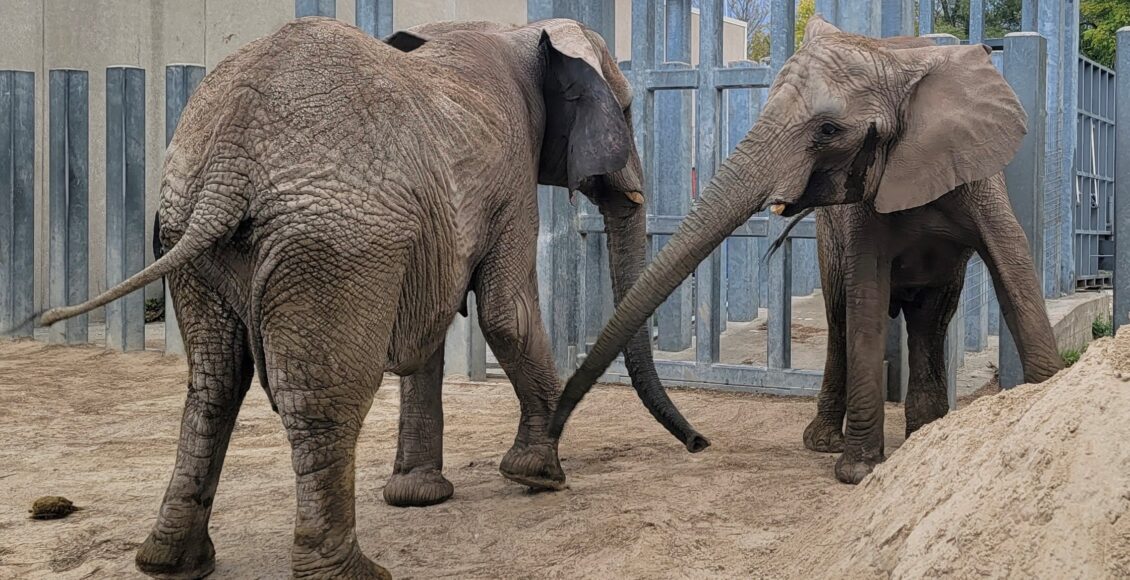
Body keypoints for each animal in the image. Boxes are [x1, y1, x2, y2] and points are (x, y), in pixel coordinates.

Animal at [39, 16, 707, 579]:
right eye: (626, 109)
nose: (699, 445)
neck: (523, 33)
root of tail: (230, 154)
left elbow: (433, 328)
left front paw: (419, 497)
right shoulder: (511, 174)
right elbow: (506, 314)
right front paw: (541, 477)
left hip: (190, 229)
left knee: (213, 381)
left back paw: (171, 562)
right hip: (335, 240)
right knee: (324, 396)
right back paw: (350, 573)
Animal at [550, 16, 1062, 485]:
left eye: (829, 130)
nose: (699, 442)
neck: (898, 63)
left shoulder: (978, 177)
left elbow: (1015, 272)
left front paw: (1048, 396)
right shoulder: (859, 210)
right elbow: (865, 297)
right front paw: (858, 471)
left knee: (931, 317)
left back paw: (923, 432)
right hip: (828, 239)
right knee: (842, 316)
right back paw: (827, 442)